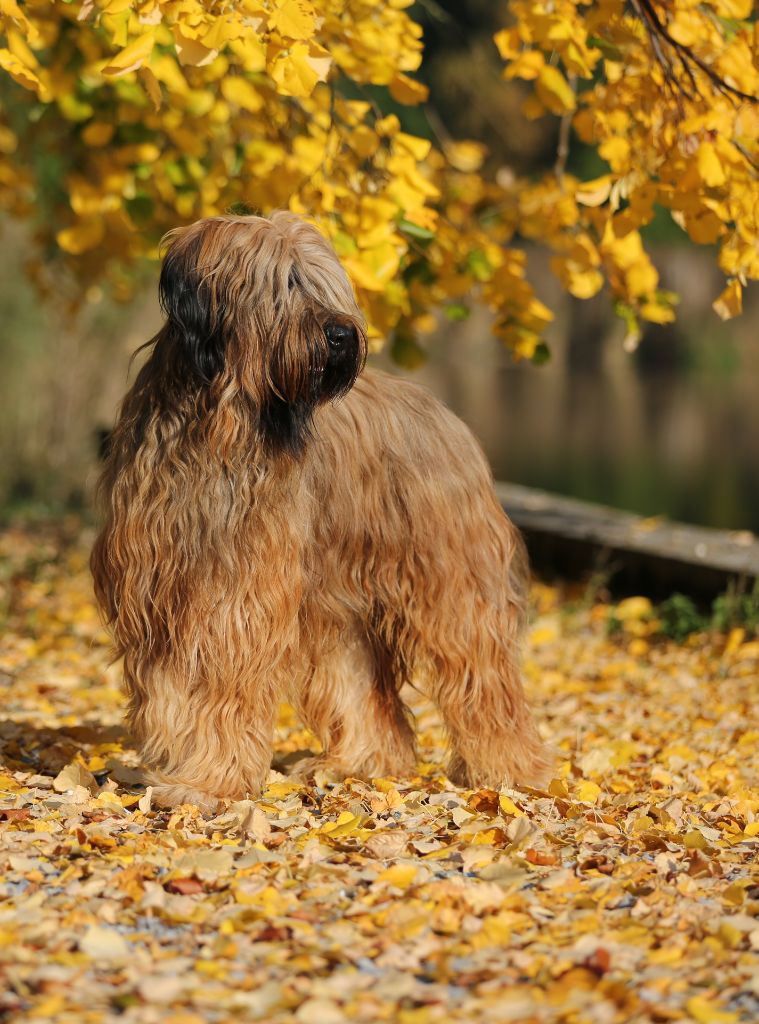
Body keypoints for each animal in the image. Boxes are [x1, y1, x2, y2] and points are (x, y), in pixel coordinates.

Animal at [90, 211, 549, 811]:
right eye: (285, 283)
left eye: (326, 286)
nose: (342, 335)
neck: (218, 428)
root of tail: (445, 414)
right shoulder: (156, 586)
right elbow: (168, 690)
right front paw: (174, 768)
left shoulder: (239, 594)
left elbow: (223, 687)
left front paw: (208, 782)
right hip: (335, 601)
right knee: (359, 682)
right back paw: (360, 763)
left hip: (452, 582)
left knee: (483, 674)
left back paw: (512, 772)